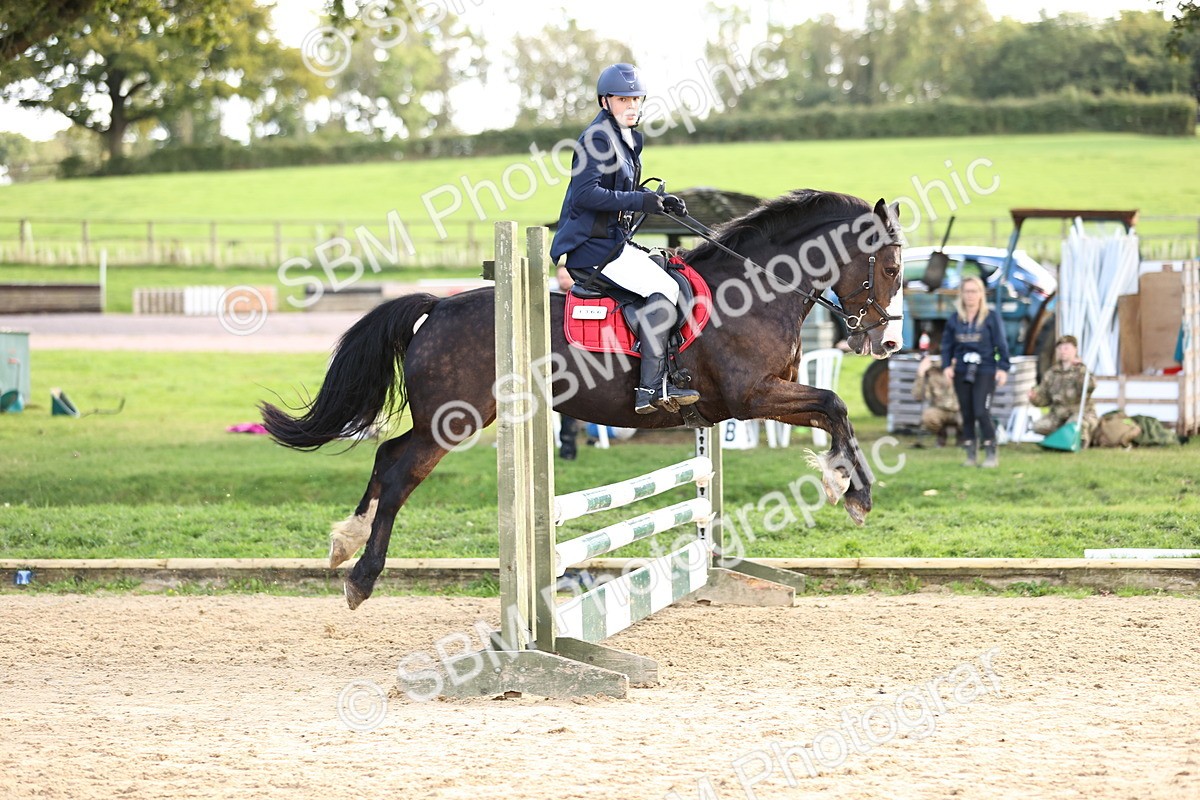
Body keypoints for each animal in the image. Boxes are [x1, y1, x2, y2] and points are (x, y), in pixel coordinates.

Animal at [261, 189, 905, 609]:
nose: (888, 341)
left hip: (449, 420)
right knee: (398, 473)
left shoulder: (756, 401)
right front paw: (853, 490)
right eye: (893, 267)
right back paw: (362, 576)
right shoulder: (752, 396)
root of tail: (439, 307)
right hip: (452, 421)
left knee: (386, 456)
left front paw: (847, 484)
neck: (755, 289)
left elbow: (831, 412)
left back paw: (345, 542)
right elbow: (834, 404)